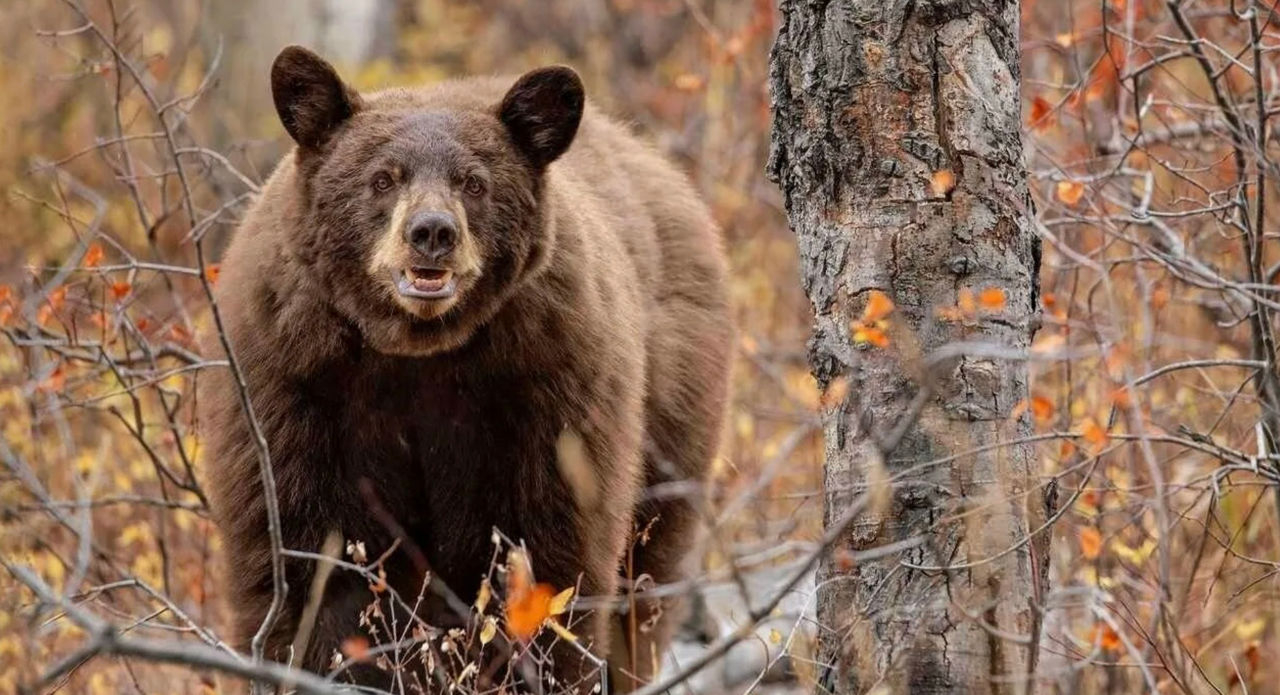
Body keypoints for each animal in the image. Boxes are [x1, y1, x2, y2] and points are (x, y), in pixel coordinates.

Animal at [199, 45, 731, 693]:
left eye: (474, 183)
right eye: (383, 178)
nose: (432, 232)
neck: (416, 351)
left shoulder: (547, 384)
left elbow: (549, 556)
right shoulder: (294, 384)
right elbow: (310, 562)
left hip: (674, 413)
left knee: (645, 587)